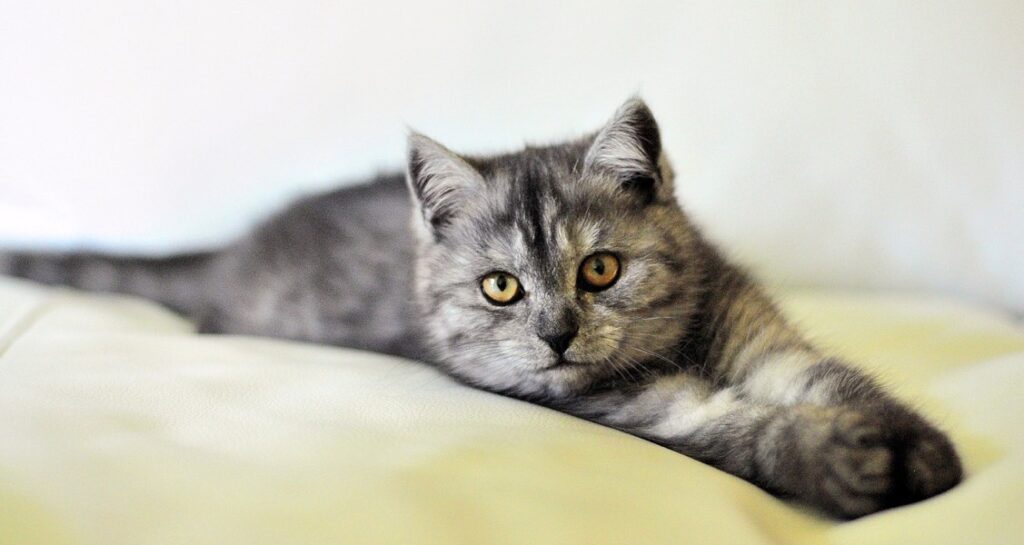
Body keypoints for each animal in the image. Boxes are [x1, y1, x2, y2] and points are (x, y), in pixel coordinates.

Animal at [0, 98, 958, 520]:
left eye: (601, 269)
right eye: (502, 287)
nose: (558, 334)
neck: (675, 346)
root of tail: (231, 254)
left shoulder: (759, 336)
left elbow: (826, 378)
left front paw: (915, 448)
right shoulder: (639, 408)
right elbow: (742, 427)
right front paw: (847, 462)